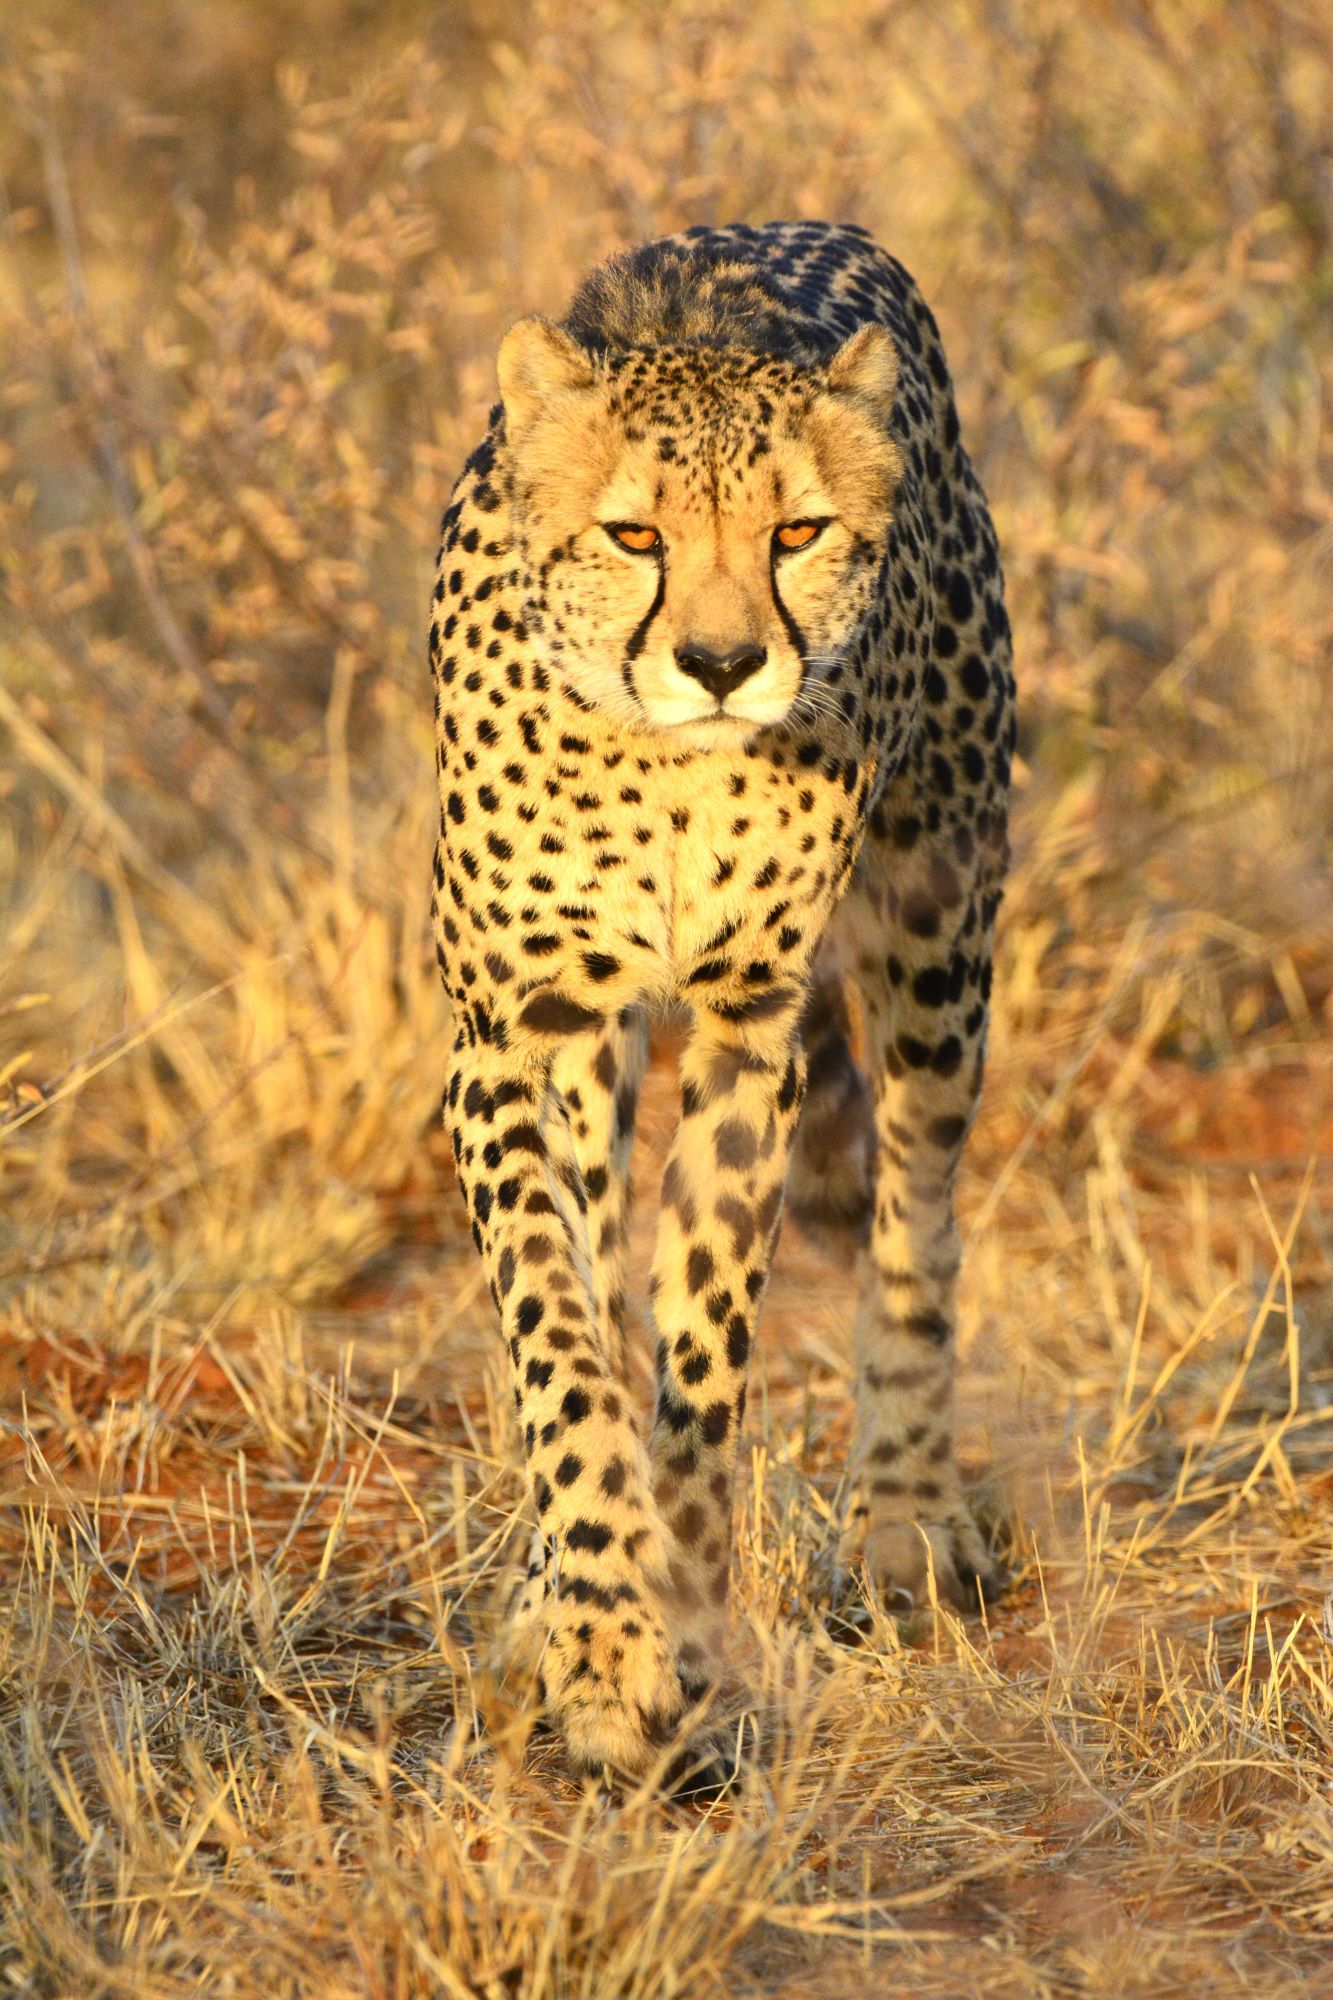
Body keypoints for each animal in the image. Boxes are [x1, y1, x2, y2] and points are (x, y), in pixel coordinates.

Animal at [429, 220, 1015, 1785]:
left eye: (794, 535)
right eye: (634, 535)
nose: (720, 663)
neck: (660, 765)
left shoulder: (752, 1021)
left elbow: (702, 1342)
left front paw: (681, 1625)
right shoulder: (513, 1036)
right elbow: (563, 1337)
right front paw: (594, 1634)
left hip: (940, 929)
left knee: (914, 1223)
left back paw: (902, 1520)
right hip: (599, 1060)